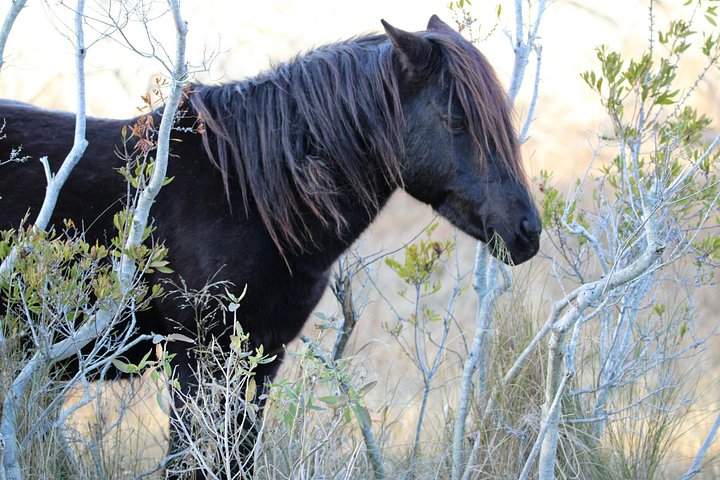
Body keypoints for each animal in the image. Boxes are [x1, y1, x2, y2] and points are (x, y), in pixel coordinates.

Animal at [0, 14, 541, 478]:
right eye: (455, 118)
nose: (528, 231)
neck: (244, 195)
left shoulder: (262, 357)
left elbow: (238, 458)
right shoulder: (192, 359)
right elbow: (186, 459)